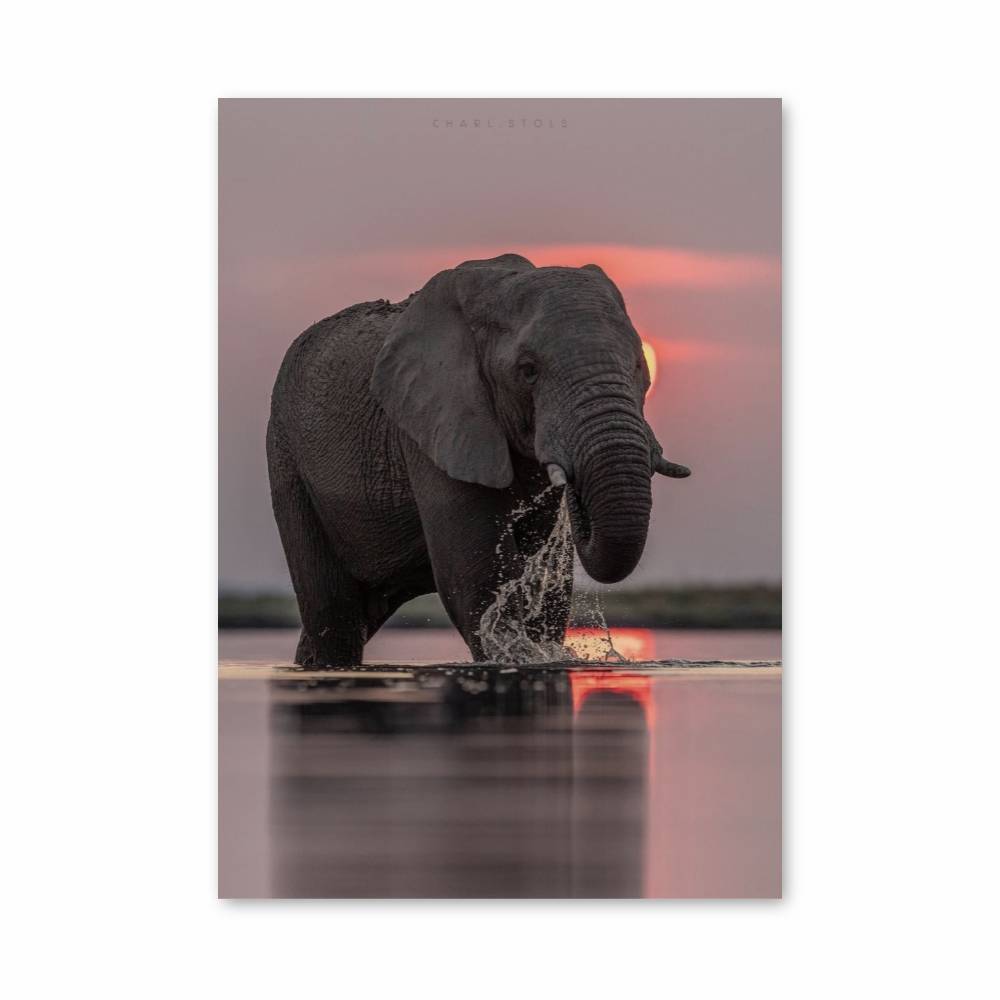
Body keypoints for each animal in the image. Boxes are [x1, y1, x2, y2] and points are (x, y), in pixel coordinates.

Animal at [266, 253, 690, 666]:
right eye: (528, 371)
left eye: (639, 365)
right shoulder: (436, 424)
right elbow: (477, 575)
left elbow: (546, 586)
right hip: (287, 458)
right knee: (333, 613)